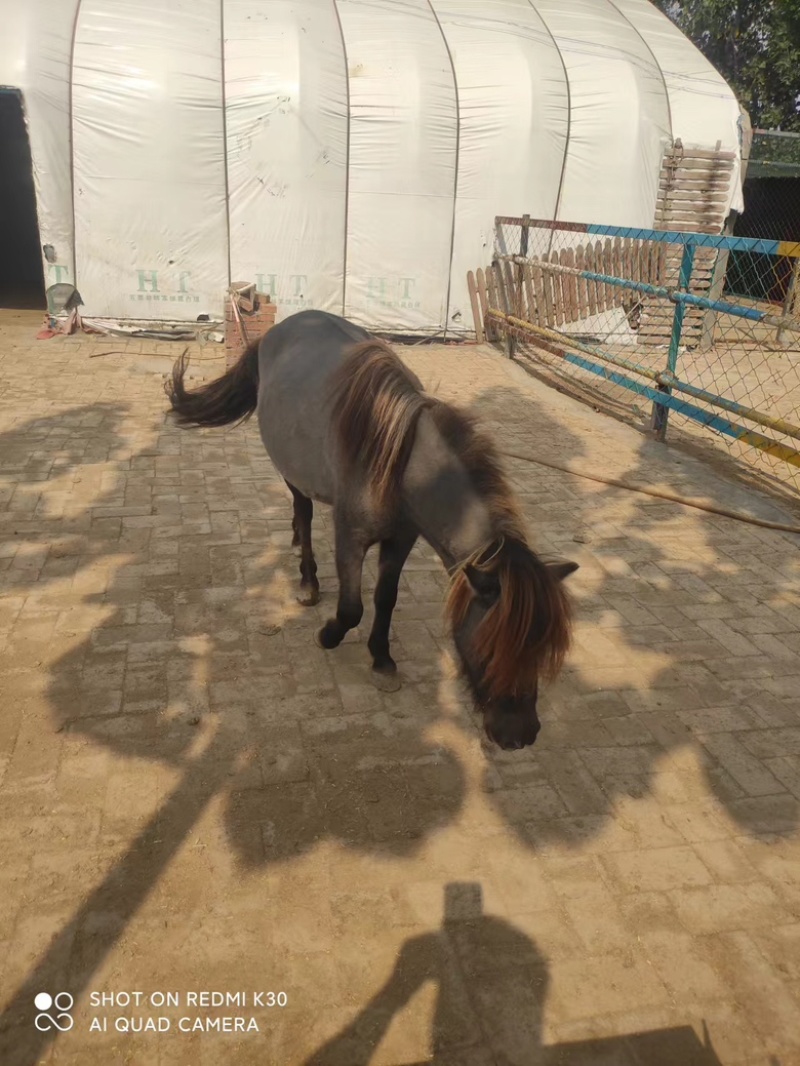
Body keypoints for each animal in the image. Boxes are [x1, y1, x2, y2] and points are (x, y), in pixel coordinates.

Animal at [166, 309, 578, 750]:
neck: (398, 460)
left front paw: (381, 657)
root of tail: (284, 326)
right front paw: (329, 635)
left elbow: (385, 598)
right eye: (491, 647)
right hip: (293, 473)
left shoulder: (401, 540)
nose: (520, 734)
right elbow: (352, 608)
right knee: (304, 512)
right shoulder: (351, 538)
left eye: (543, 649)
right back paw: (307, 579)